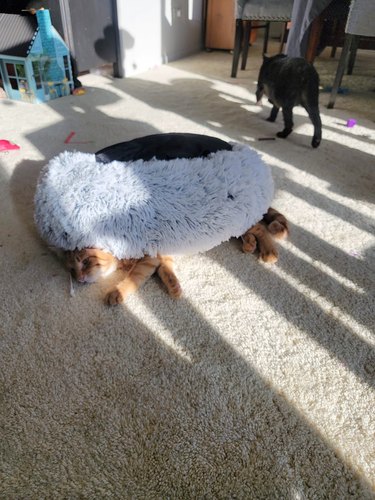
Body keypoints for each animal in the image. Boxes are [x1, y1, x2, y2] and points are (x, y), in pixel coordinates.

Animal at [64, 207, 288, 304]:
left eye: (86, 261)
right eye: (71, 269)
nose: (79, 278)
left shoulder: (149, 257)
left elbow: (134, 277)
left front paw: (117, 292)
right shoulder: (163, 255)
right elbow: (166, 270)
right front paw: (174, 285)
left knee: (261, 228)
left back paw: (269, 251)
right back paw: (249, 244)